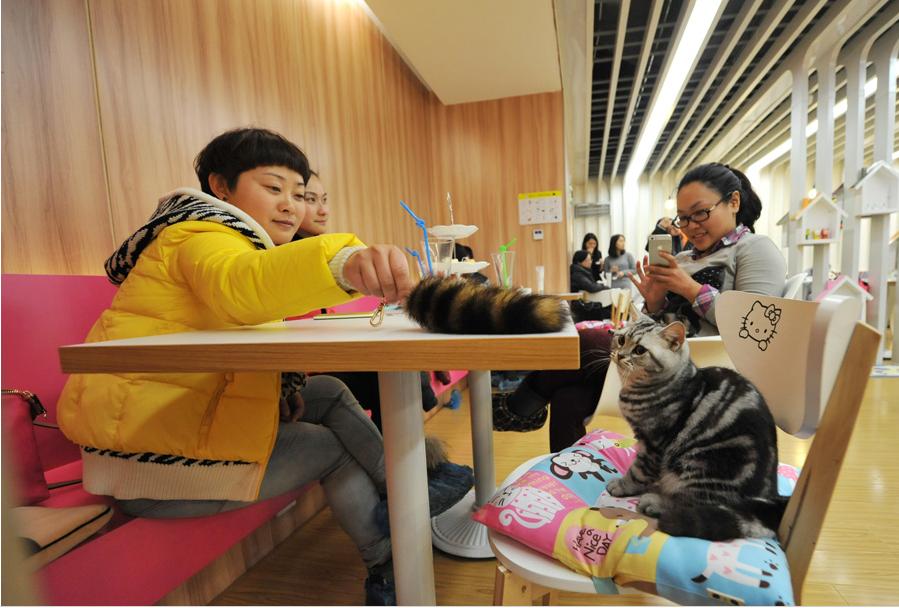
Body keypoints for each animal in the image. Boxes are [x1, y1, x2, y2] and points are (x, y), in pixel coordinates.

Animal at [604, 316, 788, 540]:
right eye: (621, 340)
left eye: (639, 350)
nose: (620, 354)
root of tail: (771, 495)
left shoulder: (653, 443)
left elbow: (638, 471)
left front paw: (622, 485)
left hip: (698, 464)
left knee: (692, 503)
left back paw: (654, 502)